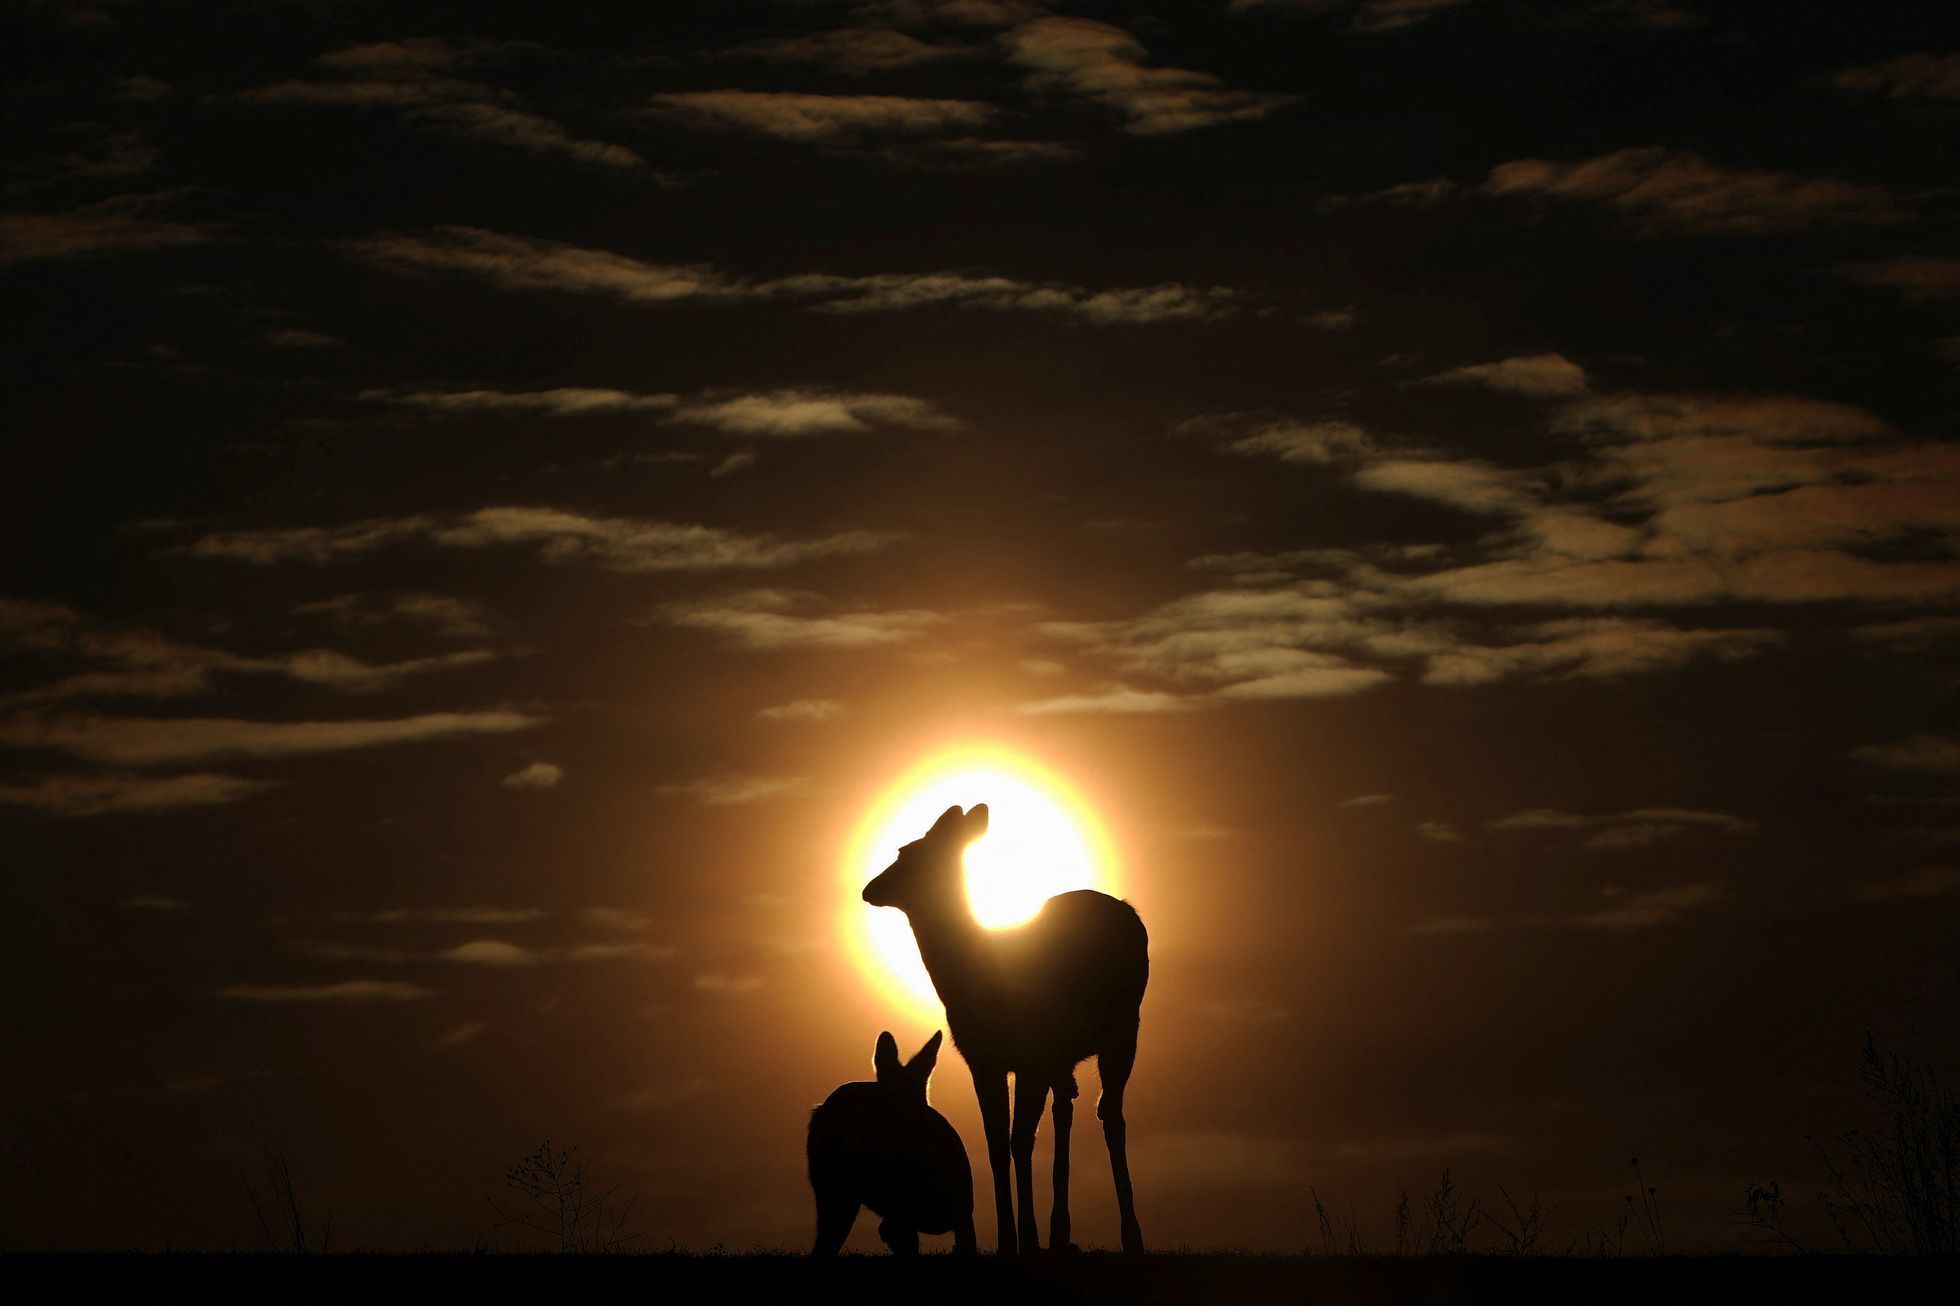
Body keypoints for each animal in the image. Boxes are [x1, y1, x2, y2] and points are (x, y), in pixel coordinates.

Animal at [862, 800, 1144, 1255]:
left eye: (906, 852)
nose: (869, 889)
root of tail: (1126, 909)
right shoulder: (982, 1060)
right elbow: (996, 1143)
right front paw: (1009, 1241)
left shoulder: (1031, 1057)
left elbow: (1019, 1140)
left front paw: (1026, 1238)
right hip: (1064, 1056)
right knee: (1067, 1110)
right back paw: (1060, 1234)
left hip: (1124, 1028)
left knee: (1111, 1116)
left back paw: (1130, 1235)